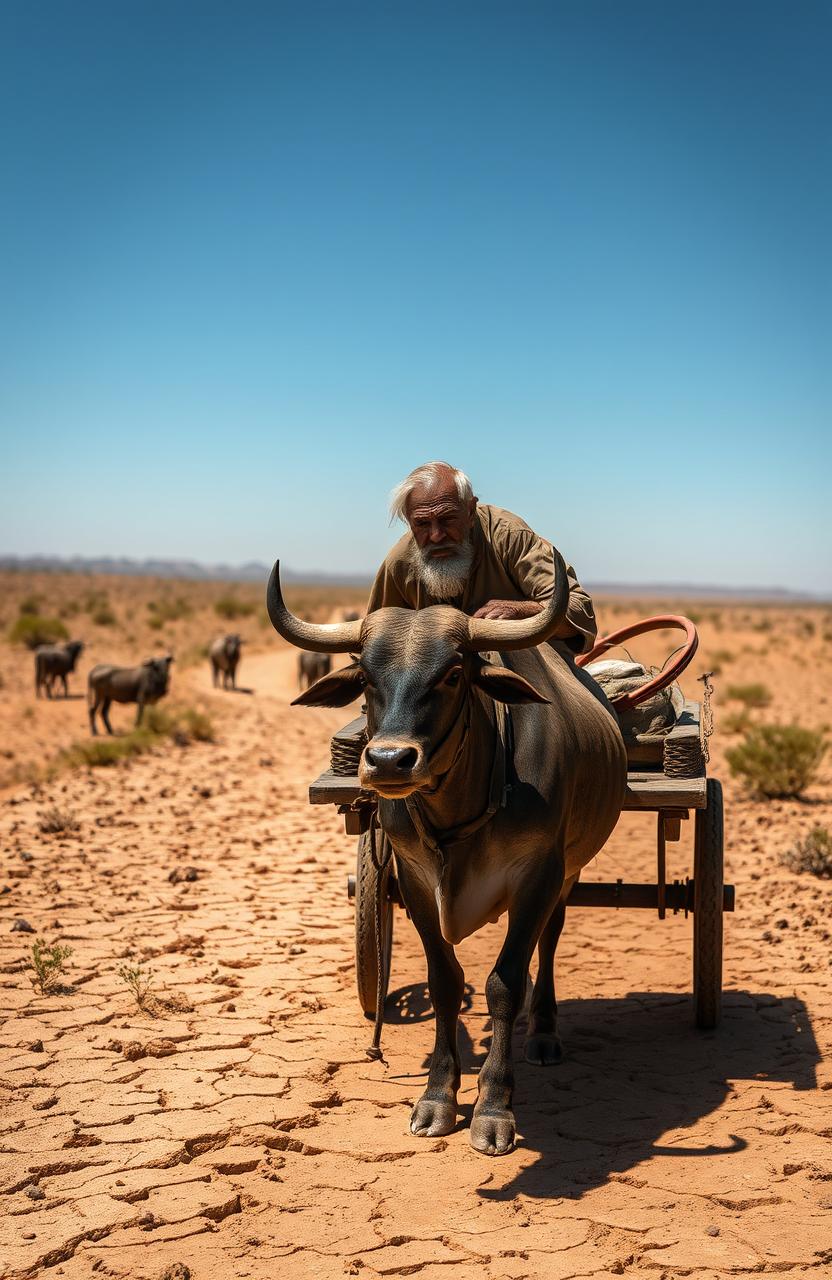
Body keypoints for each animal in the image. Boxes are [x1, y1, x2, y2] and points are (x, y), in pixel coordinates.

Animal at [266, 555, 622, 1157]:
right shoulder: (412, 879)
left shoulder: (539, 874)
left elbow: (504, 983)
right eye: (365, 675)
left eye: (453, 673)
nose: (388, 761)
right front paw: (437, 1098)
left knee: (549, 941)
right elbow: (445, 982)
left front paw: (493, 1107)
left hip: (571, 870)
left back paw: (543, 1031)